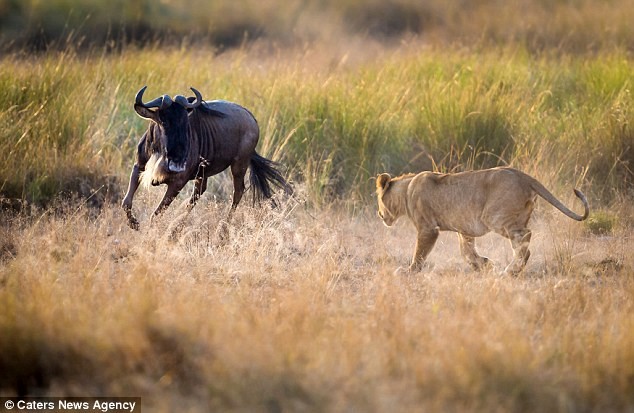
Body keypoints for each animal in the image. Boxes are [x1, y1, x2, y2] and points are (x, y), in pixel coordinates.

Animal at [376, 166, 588, 276]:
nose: (379, 214)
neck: (407, 189)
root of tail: (524, 176)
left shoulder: (428, 228)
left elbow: (419, 253)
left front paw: (409, 271)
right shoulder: (464, 229)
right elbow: (467, 252)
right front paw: (484, 264)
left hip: (496, 217)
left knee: (525, 237)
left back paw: (510, 271)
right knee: (524, 239)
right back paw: (511, 270)